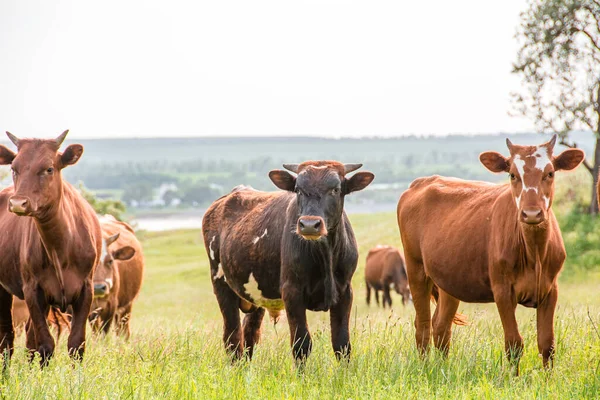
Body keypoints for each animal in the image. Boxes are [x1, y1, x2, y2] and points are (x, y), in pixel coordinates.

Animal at [0, 131, 102, 366]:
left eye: (48, 168)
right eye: (14, 168)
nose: (18, 203)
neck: (60, 247)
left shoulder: (86, 288)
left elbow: (76, 344)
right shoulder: (33, 290)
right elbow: (45, 345)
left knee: (28, 338)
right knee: (7, 339)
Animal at [202, 161, 372, 360]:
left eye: (336, 189)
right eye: (298, 189)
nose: (309, 224)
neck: (325, 256)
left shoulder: (344, 291)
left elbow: (342, 343)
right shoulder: (292, 291)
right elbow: (301, 344)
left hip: (256, 294)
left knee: (249, 334)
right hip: (220, 282)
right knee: (232, 336)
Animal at [396, 135, 584, 376]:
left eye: (550, 173)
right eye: (512, 174)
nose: (531, 213)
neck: (534, 253)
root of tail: (421, 182)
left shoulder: (550, 289)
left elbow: (547, 343)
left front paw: (548, 380)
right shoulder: (502, 289)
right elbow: (513, 343)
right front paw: (514, 380)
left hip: (450, 280)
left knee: (441, 327)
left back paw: (442, 371)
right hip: (415, 268)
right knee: (423, 325)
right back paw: (425, 370)